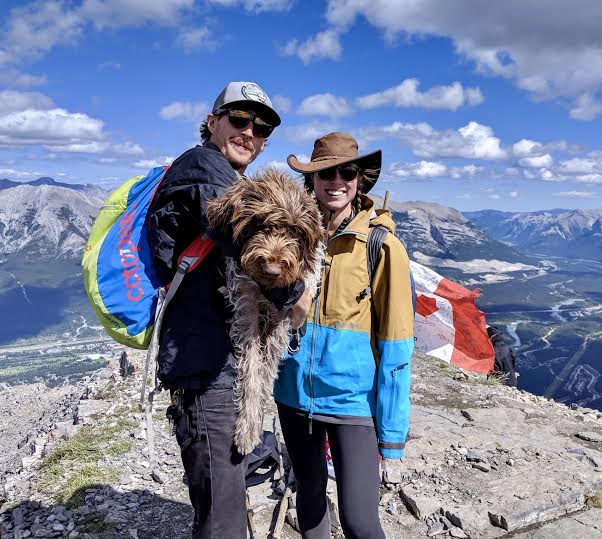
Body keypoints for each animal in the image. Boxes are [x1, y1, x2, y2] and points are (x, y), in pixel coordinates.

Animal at [204, 169, 324, 456]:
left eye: (294, 230)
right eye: (257, 224)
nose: (272, 270)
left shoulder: (283, 315)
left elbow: (267, 367)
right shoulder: (246, 305)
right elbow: (251, 366)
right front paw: (248, 427)